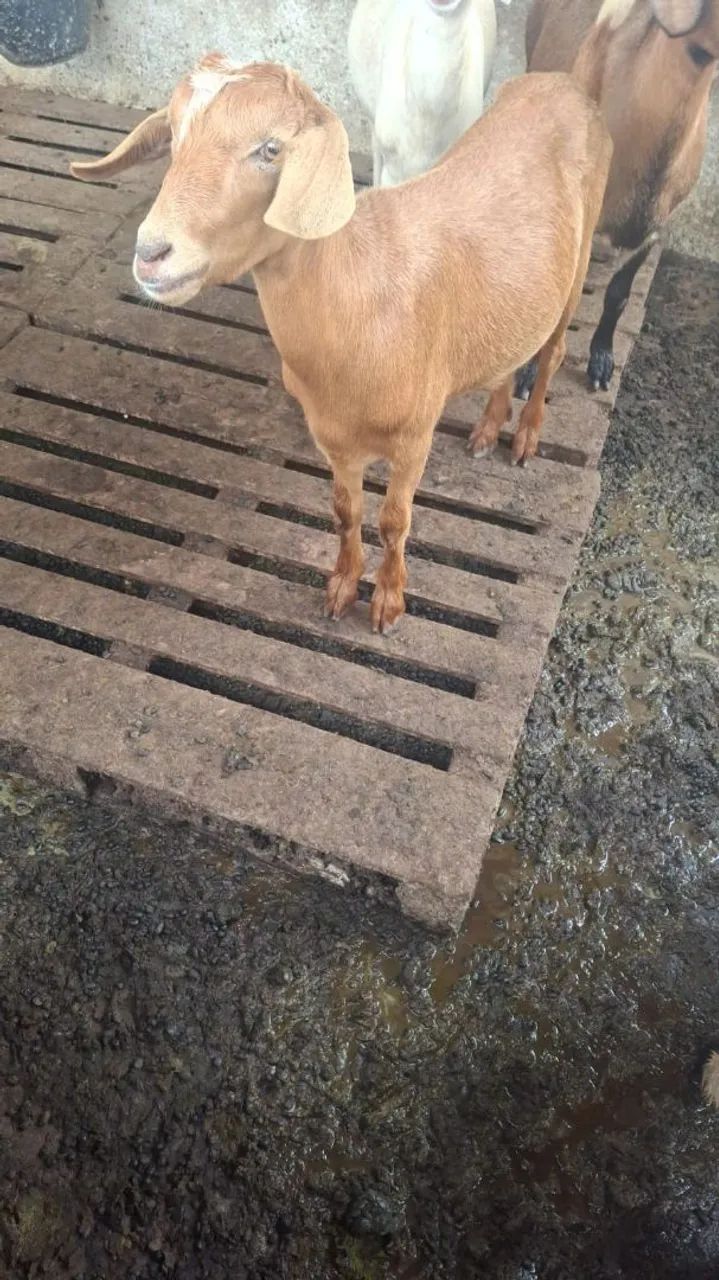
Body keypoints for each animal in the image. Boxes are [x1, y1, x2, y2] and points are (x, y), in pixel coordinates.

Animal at [70, 55, 611, 634]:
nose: (151, 254)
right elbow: (344, 512)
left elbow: (395, 521)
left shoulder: (414, 437)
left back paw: (525, 437)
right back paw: (488, 428)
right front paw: (342, 587)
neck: (360, 294)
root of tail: (562, 81)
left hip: (577, 266)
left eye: (271, 149)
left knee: (552, 352)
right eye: (171, 134)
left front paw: (388, 602)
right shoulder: (332, 437)